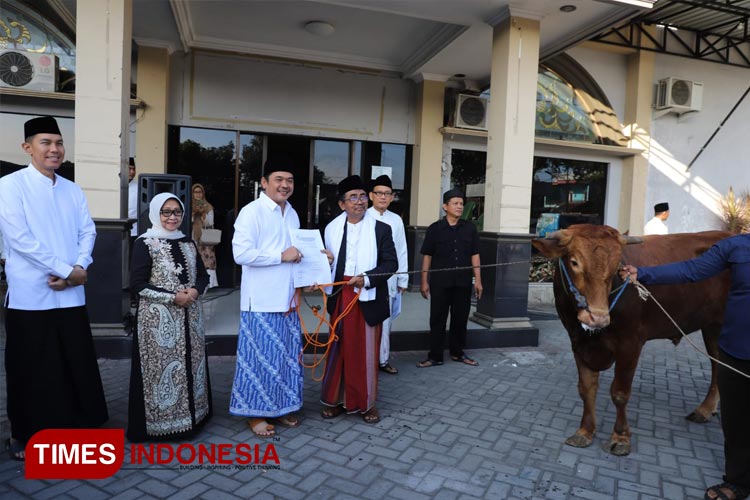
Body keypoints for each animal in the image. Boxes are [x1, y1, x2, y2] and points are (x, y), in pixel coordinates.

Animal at [532, 227, 732, 458]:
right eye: (574, 262)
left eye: (616, 266)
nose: (597, 317)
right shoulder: (577, 342)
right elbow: (586, 388)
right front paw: (585, 431)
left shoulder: (630, 343)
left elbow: (619, 393)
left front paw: (620, 438)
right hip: (712, 327)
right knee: (717, 364)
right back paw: (705, 410)